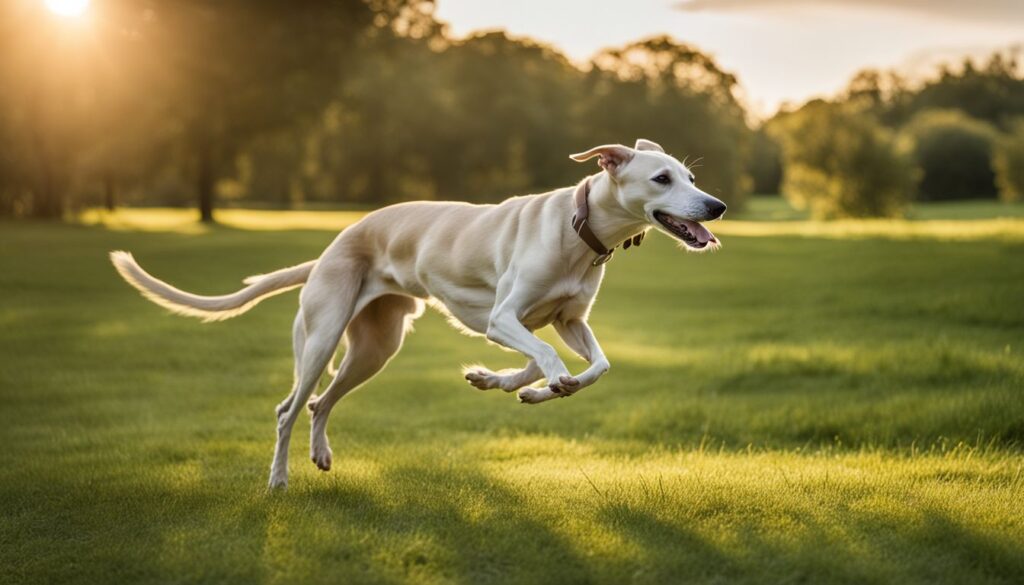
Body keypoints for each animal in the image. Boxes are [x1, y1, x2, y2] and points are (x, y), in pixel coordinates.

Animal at [112, 139, 729, 487]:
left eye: (692, 178)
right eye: (662, 178)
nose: (718, 206)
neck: (580, 232)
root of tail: (332, 247)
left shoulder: (566, 321)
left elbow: (591, 365)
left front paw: (512, 385)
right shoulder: (503, 319)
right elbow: (548, 357)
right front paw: (543, 383)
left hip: (375, 348)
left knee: (318, 404)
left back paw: (320, 455)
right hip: (322, 337)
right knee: (289, 408)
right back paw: (278, 480)